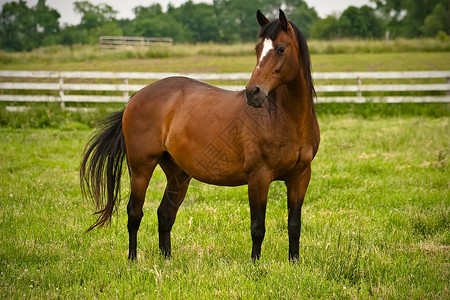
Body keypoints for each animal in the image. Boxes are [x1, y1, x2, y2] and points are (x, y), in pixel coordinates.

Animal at [81, 9, 320, 262]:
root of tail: (136, 97)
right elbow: (258, 227)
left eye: (281, 49)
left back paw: (167, 259)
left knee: (165, 214)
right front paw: (255, 264)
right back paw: (133, 259)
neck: (285, 119)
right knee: (134, 212)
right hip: (141, 168)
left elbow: (294, 225)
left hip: (178, 173)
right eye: (257, 49)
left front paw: (294, 262)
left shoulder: (300, 177)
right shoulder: (259, 176)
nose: (253, 93)